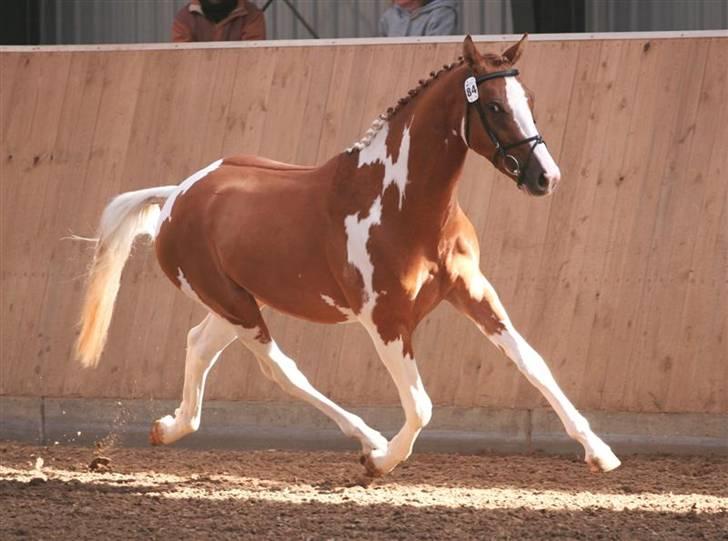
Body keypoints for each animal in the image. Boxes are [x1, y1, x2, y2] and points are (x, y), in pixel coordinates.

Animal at [75, 35, 620, 474]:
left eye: (528, 101)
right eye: (493, 108)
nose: (546, 177)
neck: (404, 205)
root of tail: (177, 196)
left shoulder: (473, 290)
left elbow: (534, 363)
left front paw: (600, 453)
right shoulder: (385, 318)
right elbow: (421, 405)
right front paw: (381, 462)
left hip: (239, 302)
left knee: (198, 344)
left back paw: (168, 427)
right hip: (238, 307)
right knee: (281, 369)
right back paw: (369, 440)